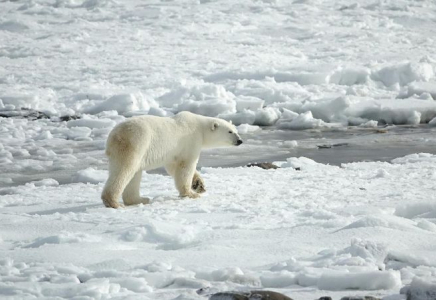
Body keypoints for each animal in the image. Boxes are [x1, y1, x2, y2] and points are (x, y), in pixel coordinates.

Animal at [100, 110, 242, 209]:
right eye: (230, 132)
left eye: (236, 130)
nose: (240, 141)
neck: (200, 128)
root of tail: (113, 136)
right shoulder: (190, 141)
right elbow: (186, 166)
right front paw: (191, 193)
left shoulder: (173, 152)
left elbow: (173, 167)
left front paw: (198, 185)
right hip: (135, 143)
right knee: (125, 170)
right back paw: (114, 202)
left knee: (134, 174)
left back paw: (140, 199)